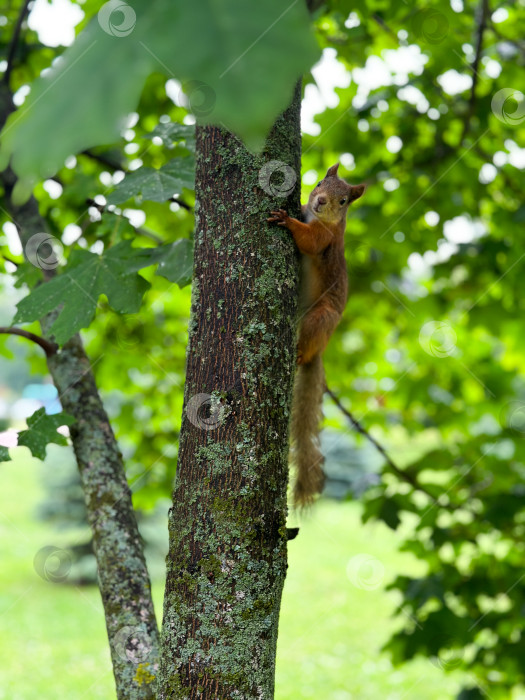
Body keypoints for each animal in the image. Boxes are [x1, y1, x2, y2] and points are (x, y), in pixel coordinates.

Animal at [268, 164, 362, 508]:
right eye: (320, 181)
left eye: (344, 200)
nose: (320, 201)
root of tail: (321, 348)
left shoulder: (325, 238)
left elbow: (307, 241)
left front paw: (286, 220)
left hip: (320, 319)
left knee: (307, 343)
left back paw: (298, 353)